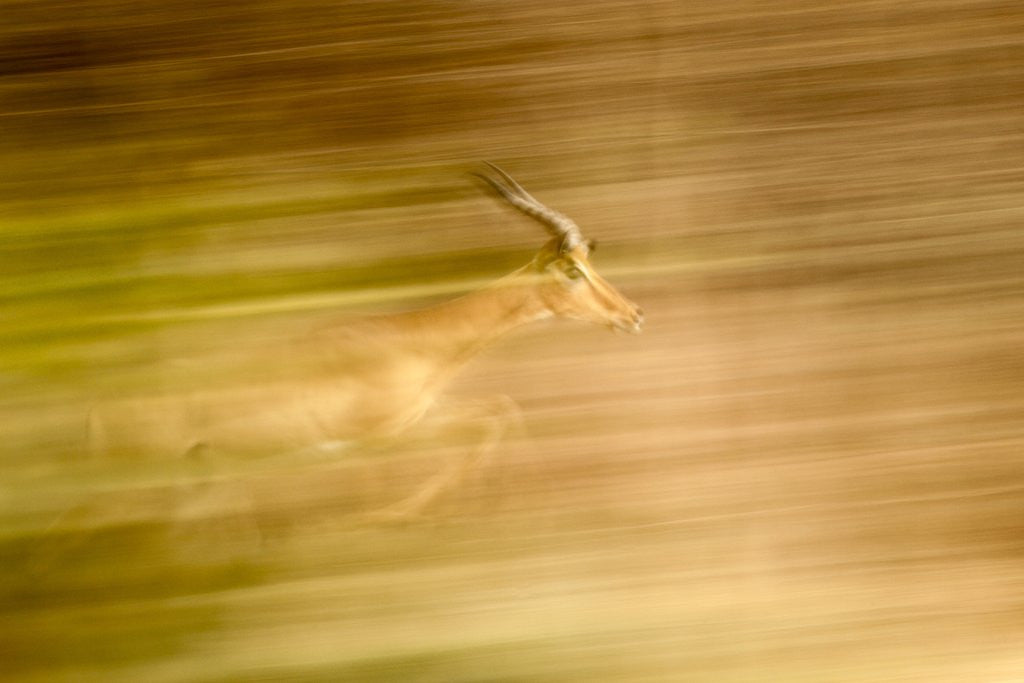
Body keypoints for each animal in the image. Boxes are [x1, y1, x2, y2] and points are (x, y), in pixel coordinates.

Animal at [87, 163, 643, 517]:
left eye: (588, 262)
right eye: (572, 271)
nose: (633, 315)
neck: (411, 341)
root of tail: (98, 408)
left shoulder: (421, 416)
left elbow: (501, 409)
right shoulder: (378, 438)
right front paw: (389, 518)